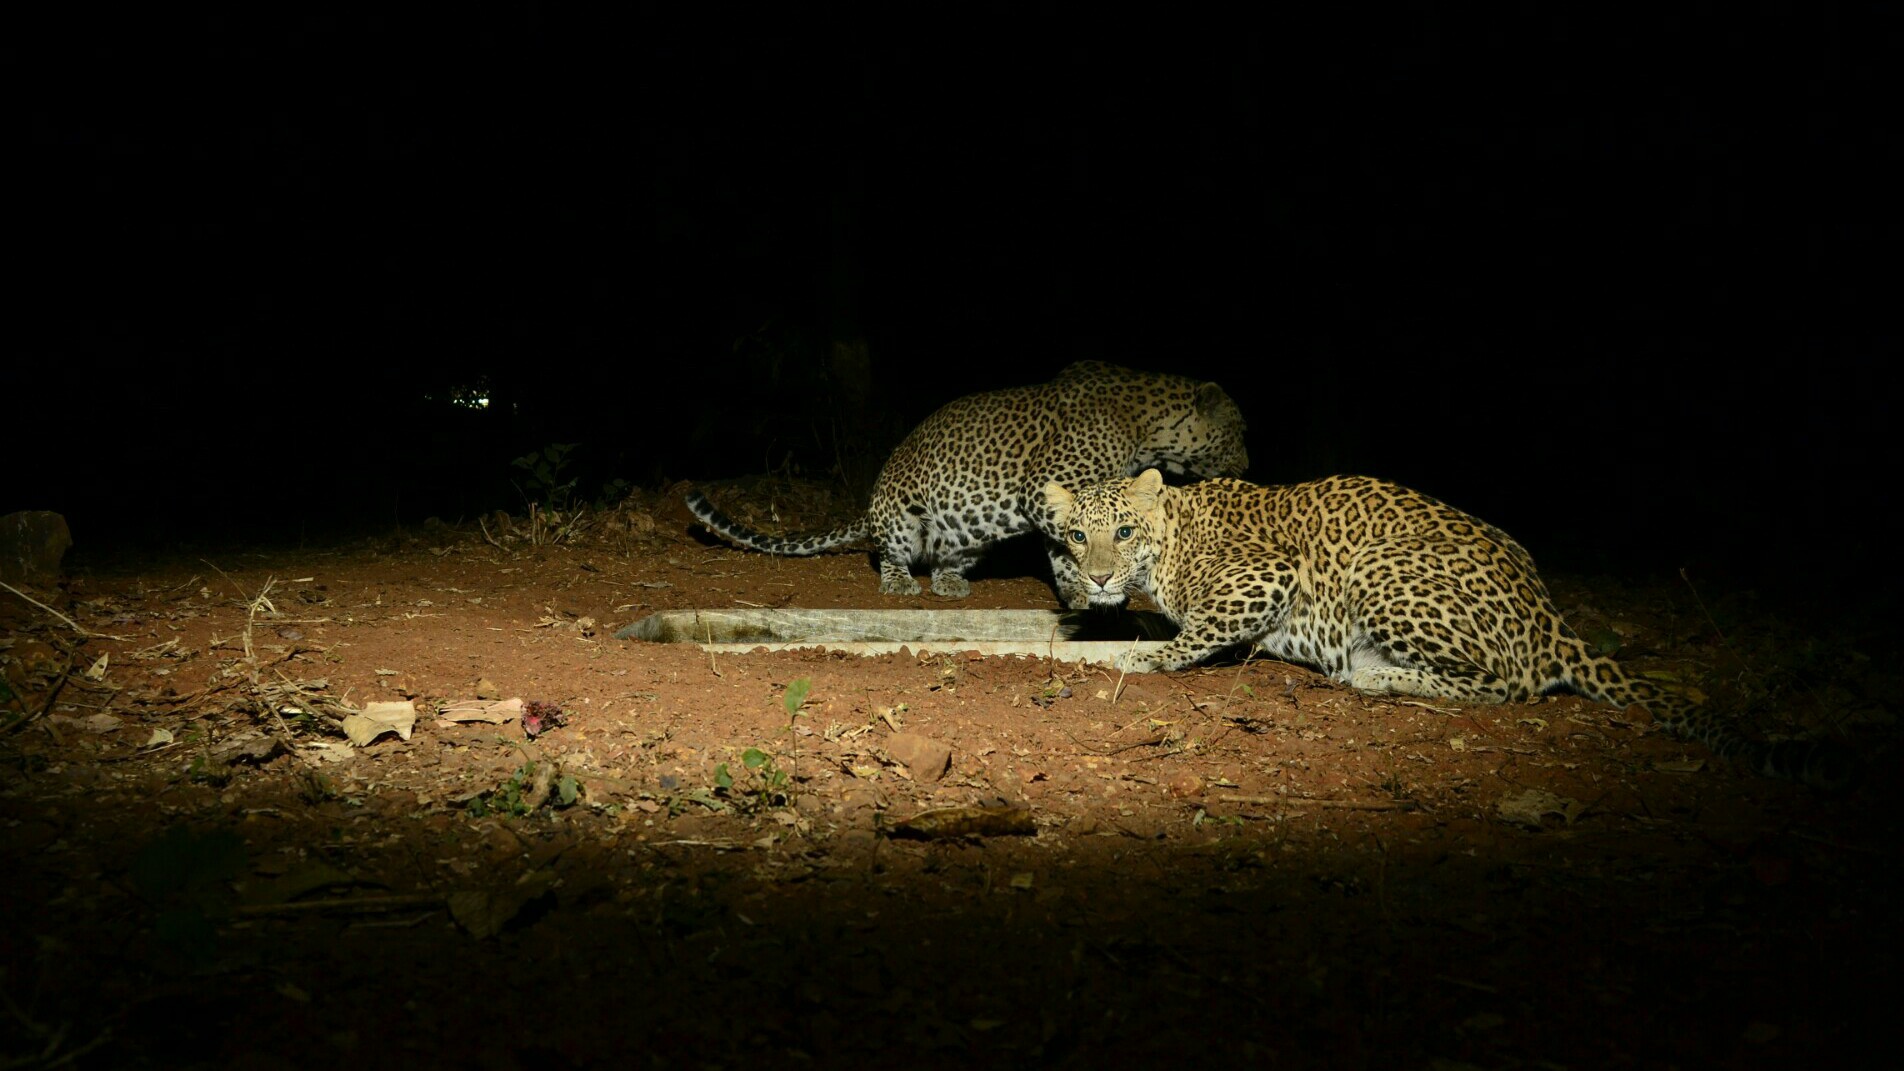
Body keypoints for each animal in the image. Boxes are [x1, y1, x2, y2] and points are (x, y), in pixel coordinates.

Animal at [685, 360, 1249, 602]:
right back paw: (900, 583)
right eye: (1240, 431)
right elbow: (1070, 547)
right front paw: (1091, 584)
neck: (1146, 426)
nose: (1247, 465)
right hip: (901, 519)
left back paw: (951, 581)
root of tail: (869, 509)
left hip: (967, 538)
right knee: (893, 555)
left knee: (945, 560)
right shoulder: (1044, 487)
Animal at [1051, 464, 1850, 785]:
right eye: (1075, 538)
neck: (1174, 534)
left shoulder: (1266, 574)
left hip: (1378, 568)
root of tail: (1549, 614)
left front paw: (1140, 658)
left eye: (1124, 531)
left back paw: (1373, 676)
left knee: (1511, 685)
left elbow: (1193, 633)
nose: (1098, 576)